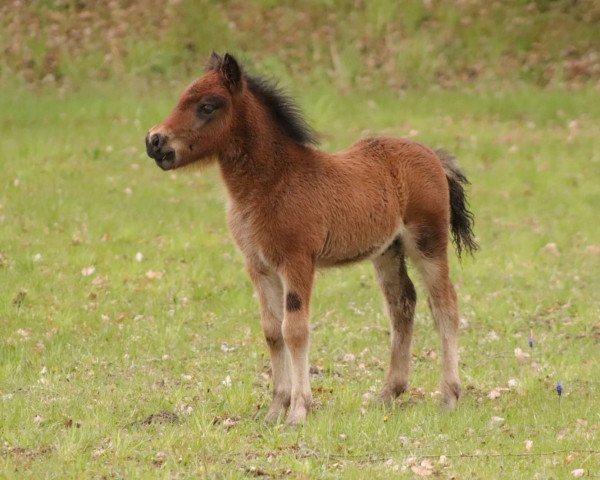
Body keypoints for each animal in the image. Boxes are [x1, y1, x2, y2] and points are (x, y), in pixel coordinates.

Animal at [145, 52, 478, 424]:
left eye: (207, 105)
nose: (154, 141)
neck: (272, 183)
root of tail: (433, 154)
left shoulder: (297, 261)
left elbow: (294, 329)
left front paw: (299, 410)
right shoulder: (258, 266)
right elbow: (272, 331)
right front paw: (275, 409)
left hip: (427, 242)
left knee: (444, 305)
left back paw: (449, 396)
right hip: (387, 250)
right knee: (402, 305)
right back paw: (387, 393)